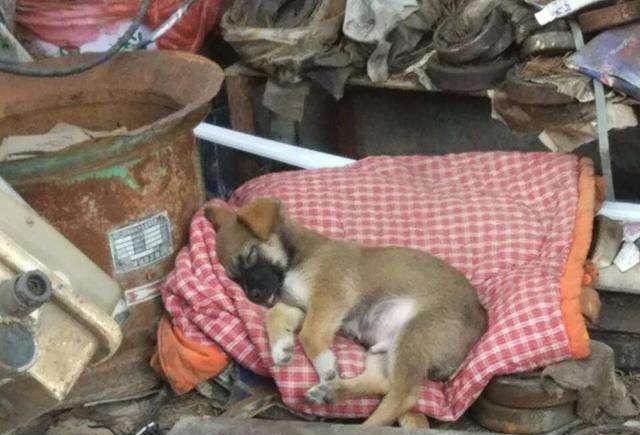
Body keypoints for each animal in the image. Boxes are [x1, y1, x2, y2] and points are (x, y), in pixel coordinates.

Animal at [208, 198, 488, 430]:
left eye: (250, 255)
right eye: (234, 277)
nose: (253, 296)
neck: (299, 256)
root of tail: (481, 322)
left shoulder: (329, 298)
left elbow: (308, 335)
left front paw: (325, 364)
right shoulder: (303, 307)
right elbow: (275, 315)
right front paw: (281, 347)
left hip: (414, 335)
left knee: (404, 396)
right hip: (382, 350)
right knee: (384, 383)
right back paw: (330, 392)